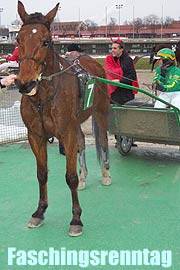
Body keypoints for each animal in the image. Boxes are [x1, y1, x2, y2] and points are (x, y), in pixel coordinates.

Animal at [15, 0, 111, 236]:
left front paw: (76, 218)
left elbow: (70, 177)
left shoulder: (66, 133)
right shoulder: (35, 135)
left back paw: (105, 174)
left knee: (103, 140)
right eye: (18, 39)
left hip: (101, 112)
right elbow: (41, 173)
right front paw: (39, 212)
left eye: (46, 41)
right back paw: (85, 177)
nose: (25, 83)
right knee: (82, 142)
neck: (44, 96)